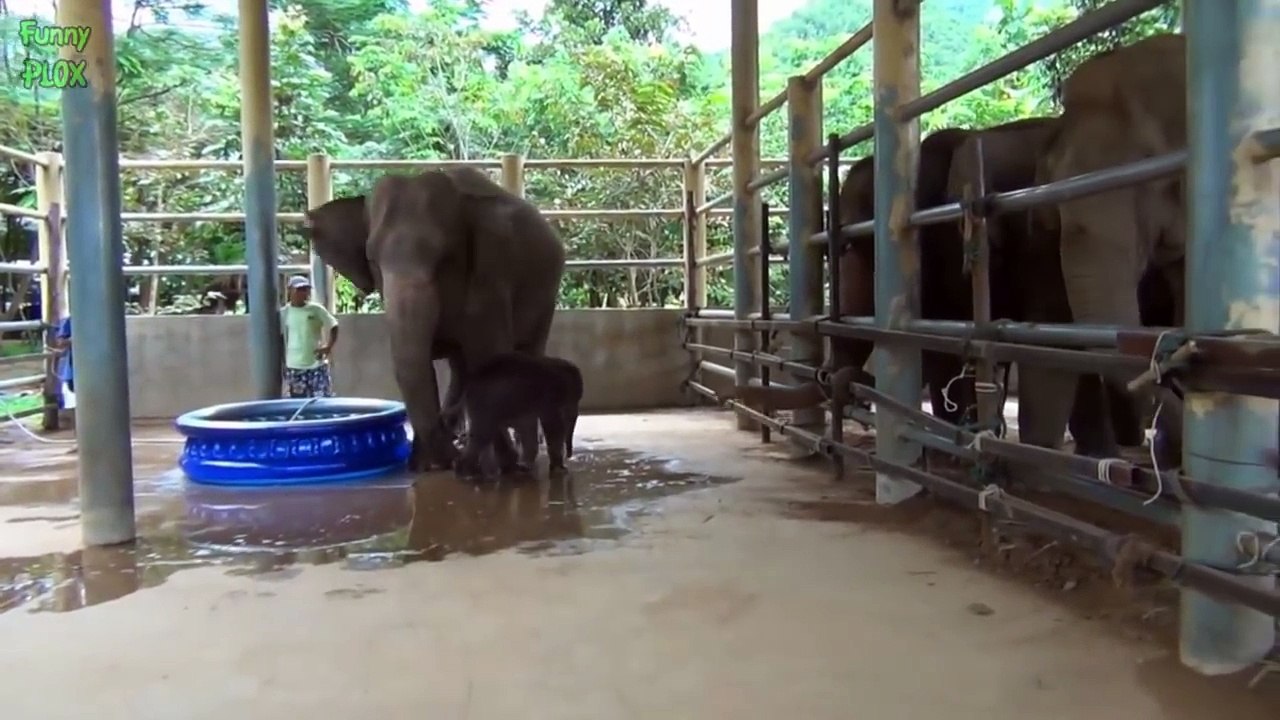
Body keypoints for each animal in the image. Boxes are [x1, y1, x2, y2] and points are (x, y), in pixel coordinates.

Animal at [302, 168, 567, 473]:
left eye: (445, 259)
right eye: (372, 260)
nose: (450, 460)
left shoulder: (491, 273)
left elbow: (489, 356)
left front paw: (502, 466)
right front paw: (429, 465)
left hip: (547, 293)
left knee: (526, 352)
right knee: (461, 367)